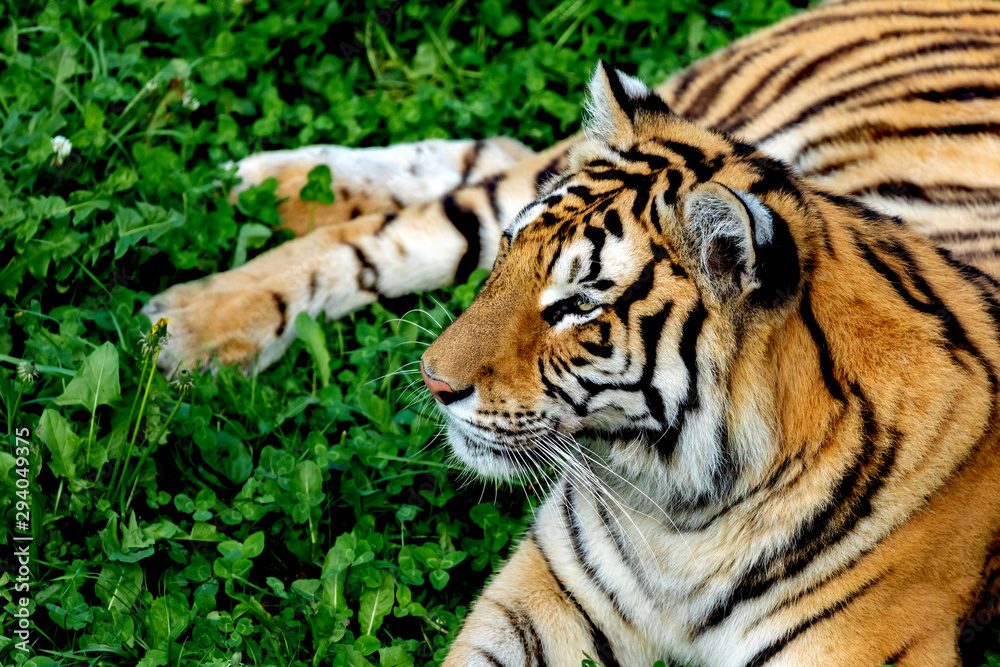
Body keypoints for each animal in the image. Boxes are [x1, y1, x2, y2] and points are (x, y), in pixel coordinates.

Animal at [144, 0, 1000, 664]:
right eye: (511, 257)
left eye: (578, 305)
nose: (433, 381)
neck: (685, 515)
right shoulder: (544, 596)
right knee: (420, 219)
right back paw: (197, 300)